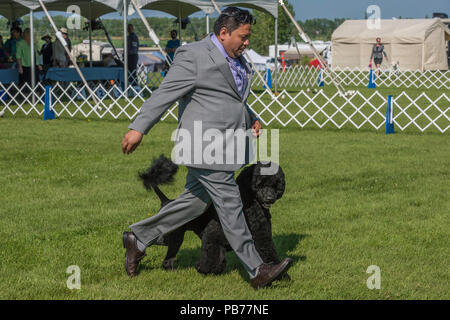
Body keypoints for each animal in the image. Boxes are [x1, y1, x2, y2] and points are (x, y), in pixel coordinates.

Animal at [139, 154, 288, 276]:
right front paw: (204, 269)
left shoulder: (262, 234)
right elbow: (212, 254)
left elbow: (268, 251)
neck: (248, 202)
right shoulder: (213, 235)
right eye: (259, 183)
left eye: (276, 184)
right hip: (176, 236)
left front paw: (279, 273)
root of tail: (167, 201)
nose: (270, 198)